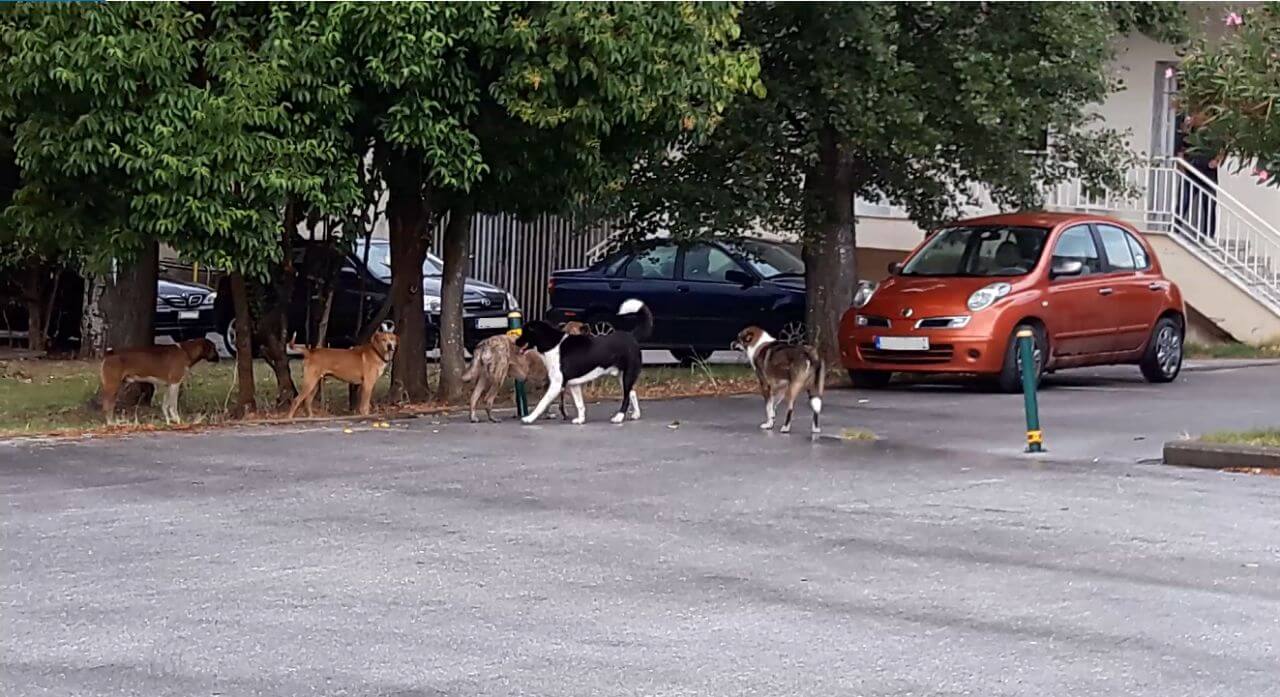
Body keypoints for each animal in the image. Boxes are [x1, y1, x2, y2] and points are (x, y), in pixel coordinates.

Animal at [512, 296, 655, 422]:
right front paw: (580, 419)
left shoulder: (557, 384)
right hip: (622, 376)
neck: (553, 343)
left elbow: (542, 403)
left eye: (524, 332)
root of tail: (631, 336)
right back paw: (636, 414)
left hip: (628, 375)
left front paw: (529, 418)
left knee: (626, 397)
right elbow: (579, 404)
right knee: (632, 393)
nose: (515, 342)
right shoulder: (574, 385)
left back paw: (619, 417)